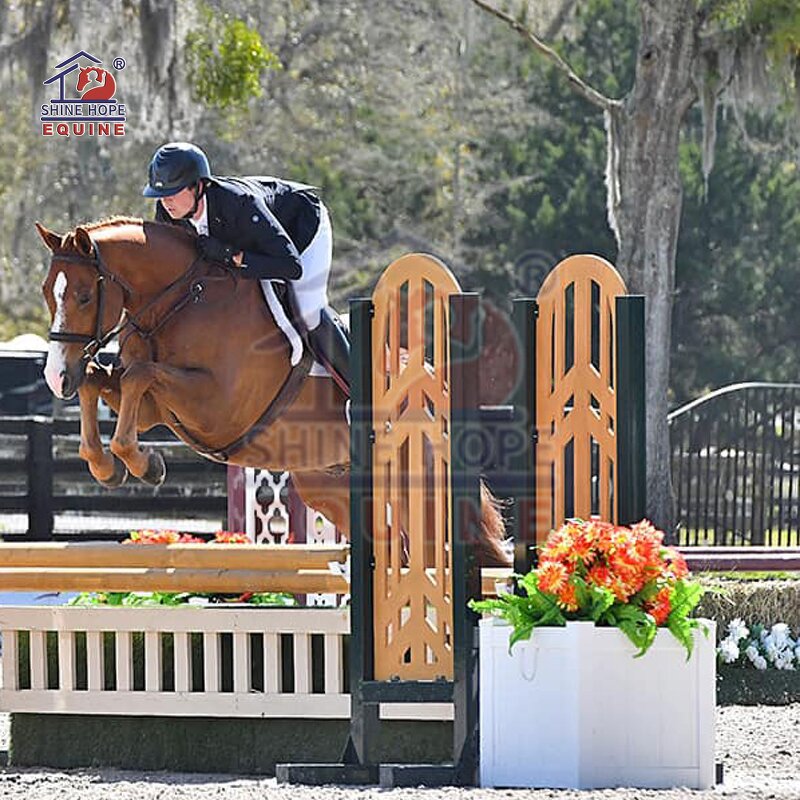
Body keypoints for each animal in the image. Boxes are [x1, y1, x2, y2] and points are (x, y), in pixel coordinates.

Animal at [37, 218, 510, 567]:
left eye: (84, 295)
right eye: (47, 292)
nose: (57, 377)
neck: (180, 300)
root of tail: (433, 383)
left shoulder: (215, 405)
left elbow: (138, 374)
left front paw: (145, 464)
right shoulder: (158, 407)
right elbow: (100, 379)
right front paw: (108, 466)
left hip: (419, 487)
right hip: (332, 488)